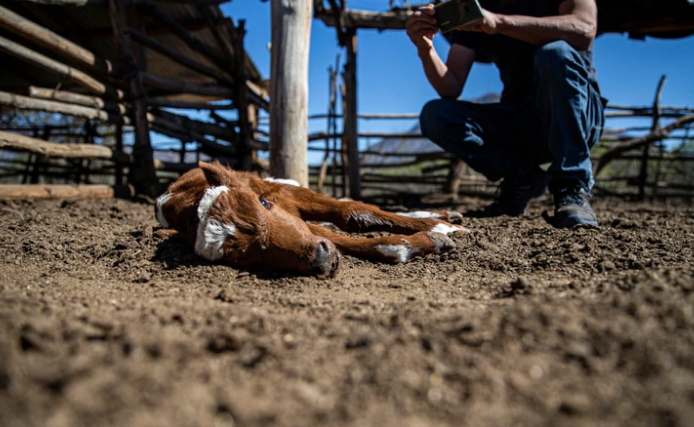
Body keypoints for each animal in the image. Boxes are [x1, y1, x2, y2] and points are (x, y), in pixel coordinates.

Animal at [157, 162, 468, 280]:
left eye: (263, 204)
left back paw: (443, 216)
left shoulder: (286, 195)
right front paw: (413, 244)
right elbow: (340, 238)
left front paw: (439, 227)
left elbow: (351, 212)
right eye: (246, 257)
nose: (320, 259)